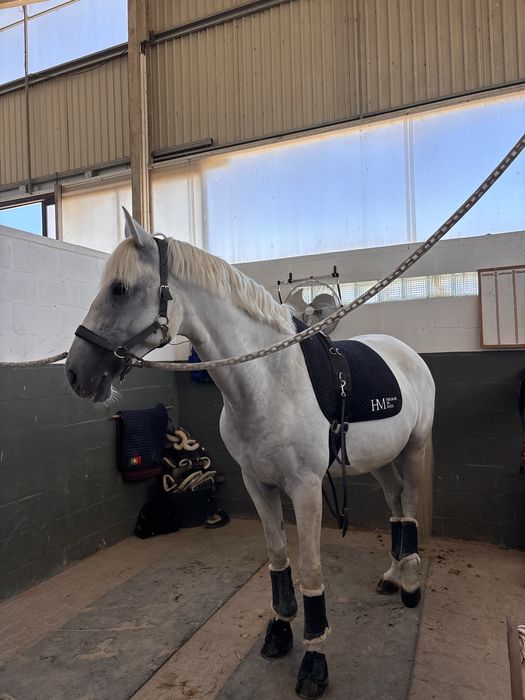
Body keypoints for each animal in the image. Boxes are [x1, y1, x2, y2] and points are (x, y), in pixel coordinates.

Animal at [66, 211, 435, 700]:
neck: (267, 381)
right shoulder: (258, 484)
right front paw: (280, 630)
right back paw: (393, 576)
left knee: (408, 506)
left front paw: (315, 659)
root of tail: (407, 353)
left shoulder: (306, 489)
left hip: (413, 450)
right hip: (379, 461)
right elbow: (278, 556)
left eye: (120, 289)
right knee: (395, 504)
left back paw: (409, 583)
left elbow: (310, 568)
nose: (76, 373)